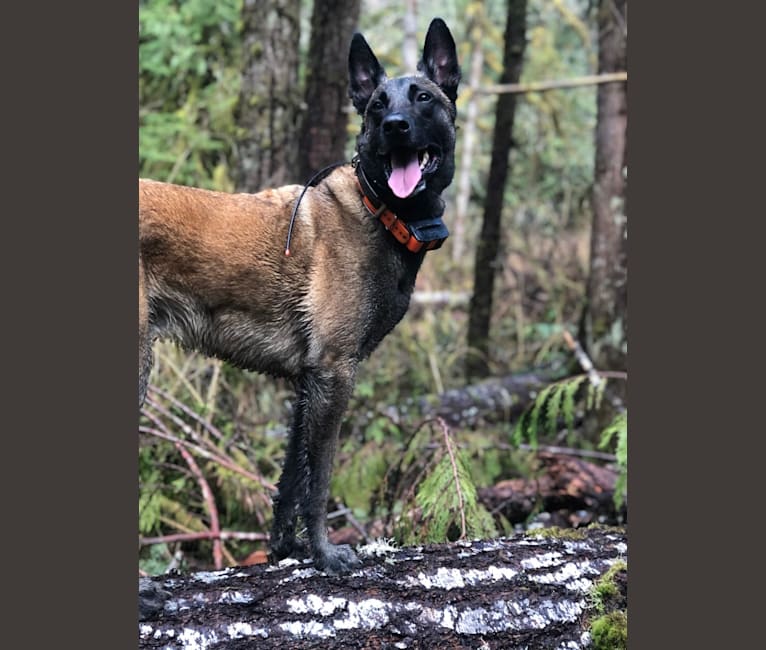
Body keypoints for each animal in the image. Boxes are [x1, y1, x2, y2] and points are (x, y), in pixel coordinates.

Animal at [140, 17, 462, 580]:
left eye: (423, 98)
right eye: (376, 105)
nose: (395, 125)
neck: (380, 209)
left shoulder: (307, 383)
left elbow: (291, 480)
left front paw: (285, 551)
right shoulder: (334, 374)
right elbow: (320, 480)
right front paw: (326, 554)